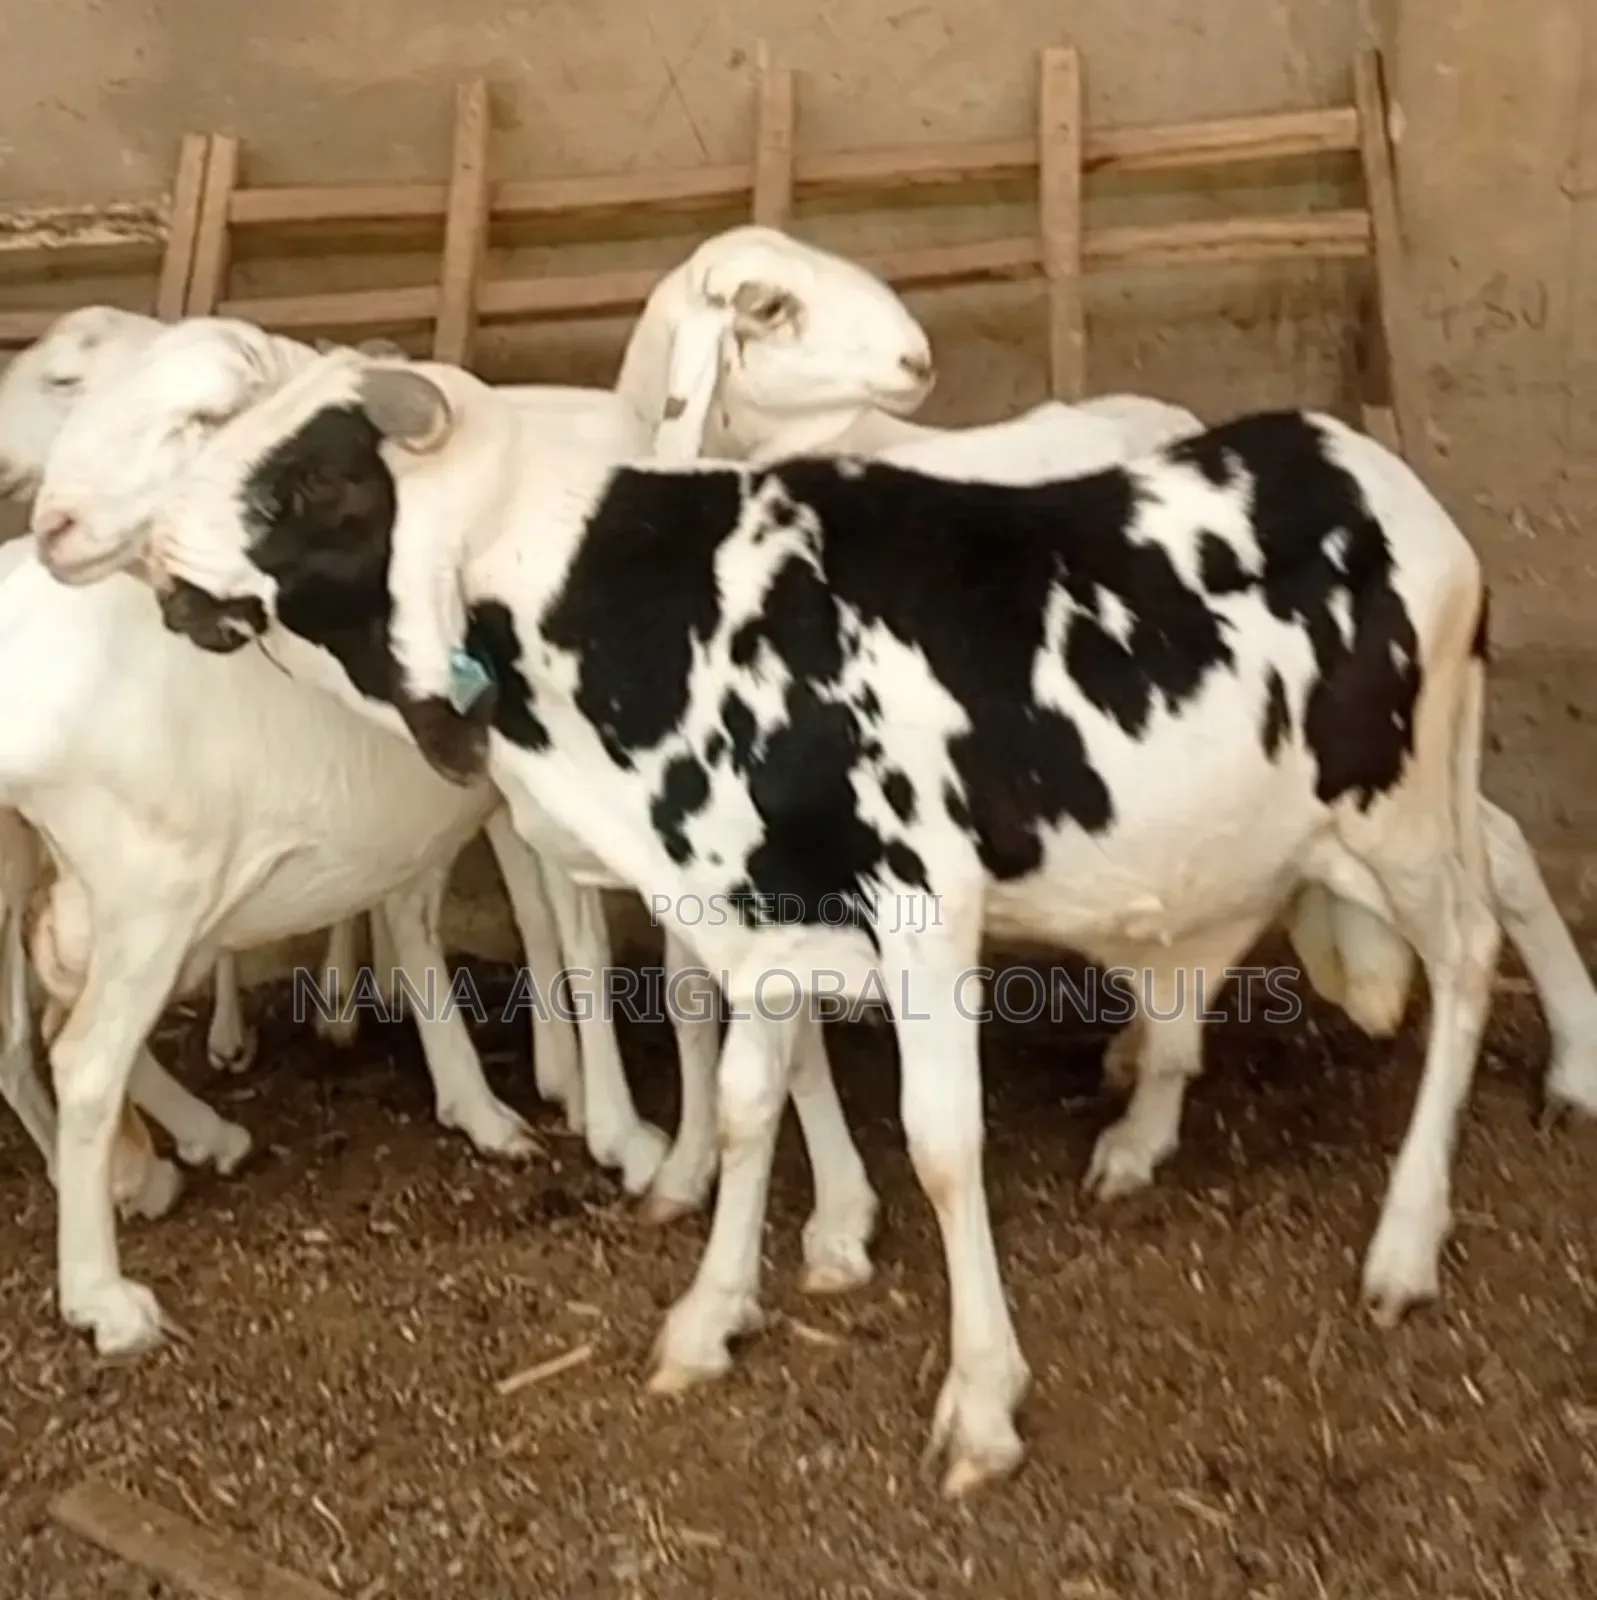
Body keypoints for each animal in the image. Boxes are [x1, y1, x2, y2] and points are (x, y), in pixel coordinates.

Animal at [143, 348, 1505, 1499]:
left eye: (313, 479)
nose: (158, 551)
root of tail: (1363, 462)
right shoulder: (757, 917)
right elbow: (750, 1106)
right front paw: (710, 1316)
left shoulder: (922, 906)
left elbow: (942, 1142)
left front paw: (980, 1400)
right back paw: (1139, 1140)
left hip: (1400, 814)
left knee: (1470, 958)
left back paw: (1403, 1242)